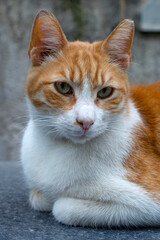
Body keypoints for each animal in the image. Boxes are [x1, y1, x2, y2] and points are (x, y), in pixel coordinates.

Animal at [20, 9, 160, 227]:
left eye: (105, 92)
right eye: (63, 87)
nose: (85, 121)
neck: (57, 147)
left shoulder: (148, 201)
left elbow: (62, 207)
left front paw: (58, 200)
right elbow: (38, 196)